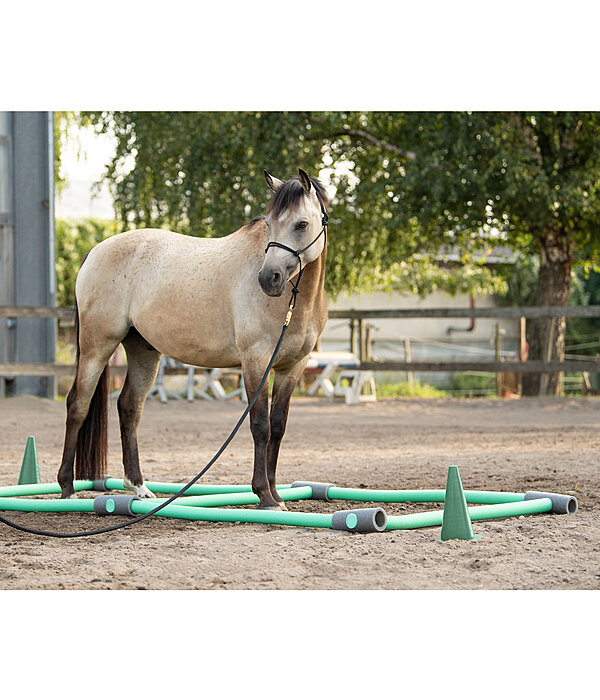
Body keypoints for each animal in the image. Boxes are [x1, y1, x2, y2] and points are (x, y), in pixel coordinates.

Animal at [56, 170, 328, 508]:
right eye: (269, 223)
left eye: (301, 224)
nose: (268, 279)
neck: (294, 301)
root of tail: (94, 252)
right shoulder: (256, 360)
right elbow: (260, 425)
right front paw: (263, 494)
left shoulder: (294, 366)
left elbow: (277, 426)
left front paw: (277, 494)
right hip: (97, 346)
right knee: (77, 406)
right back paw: (67, 487)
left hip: (144, 350)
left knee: (129, 407)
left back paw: (139, 487)